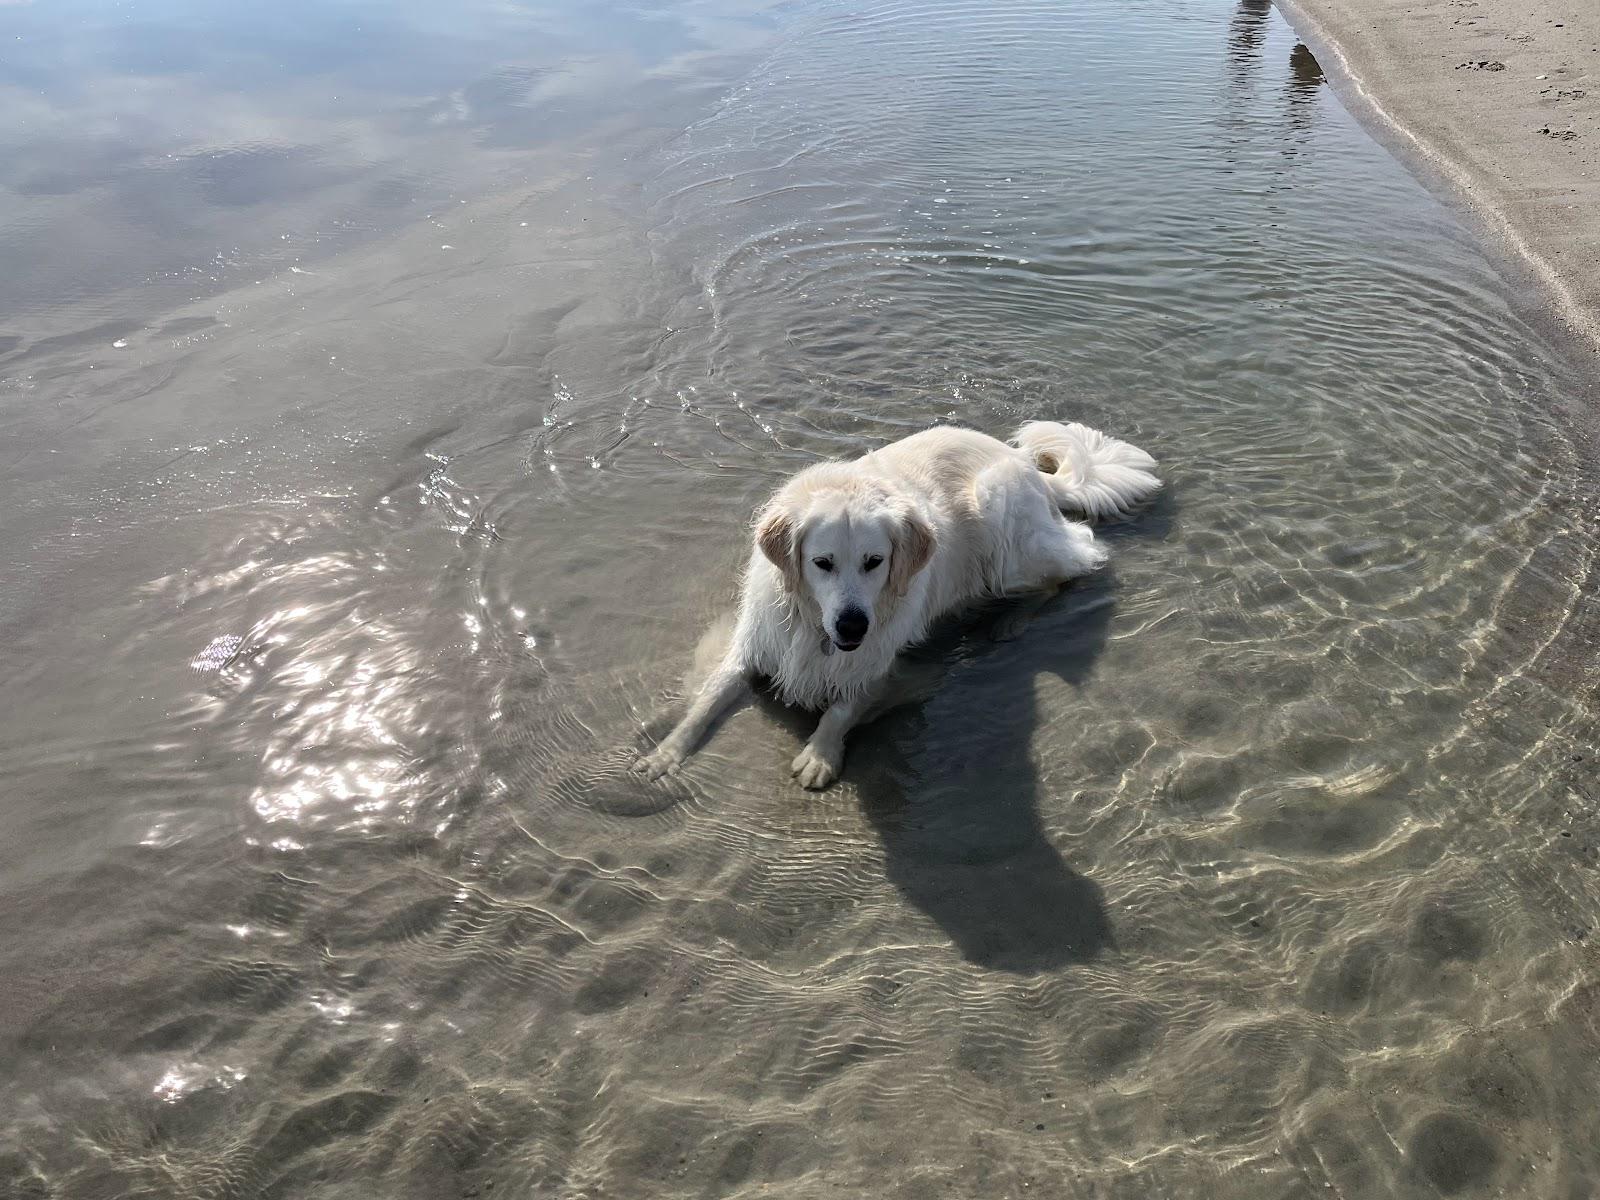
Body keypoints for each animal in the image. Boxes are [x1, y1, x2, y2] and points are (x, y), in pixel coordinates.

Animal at [630, 419, 1158, 790]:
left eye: (875, 561)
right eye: (822, 563)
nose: (852, 627)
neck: (815, 627)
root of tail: (1028, 466)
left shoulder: (879, 660)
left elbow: (843, 707)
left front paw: (820, 754)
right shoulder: (757, 642)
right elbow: (709, 696)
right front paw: (667, 751)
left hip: (1002, 523)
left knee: (1075, 560)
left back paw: (1010, 620)